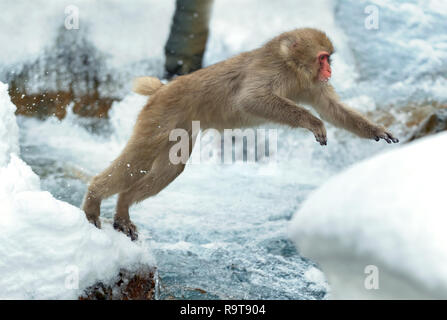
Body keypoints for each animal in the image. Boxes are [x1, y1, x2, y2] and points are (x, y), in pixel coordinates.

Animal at [83, 28, 400, 240]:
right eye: (323, 58)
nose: (329, 70)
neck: (290, 66)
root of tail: (163, 88)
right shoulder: (270, 71)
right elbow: (250, 99)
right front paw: (312, 121)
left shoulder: (311, 84)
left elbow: (334, 110)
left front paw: (376, 129)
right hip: (159, 117)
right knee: (139, 157)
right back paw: (95, 198)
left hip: (178, 128)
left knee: (170, 168)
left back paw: (123, 206)